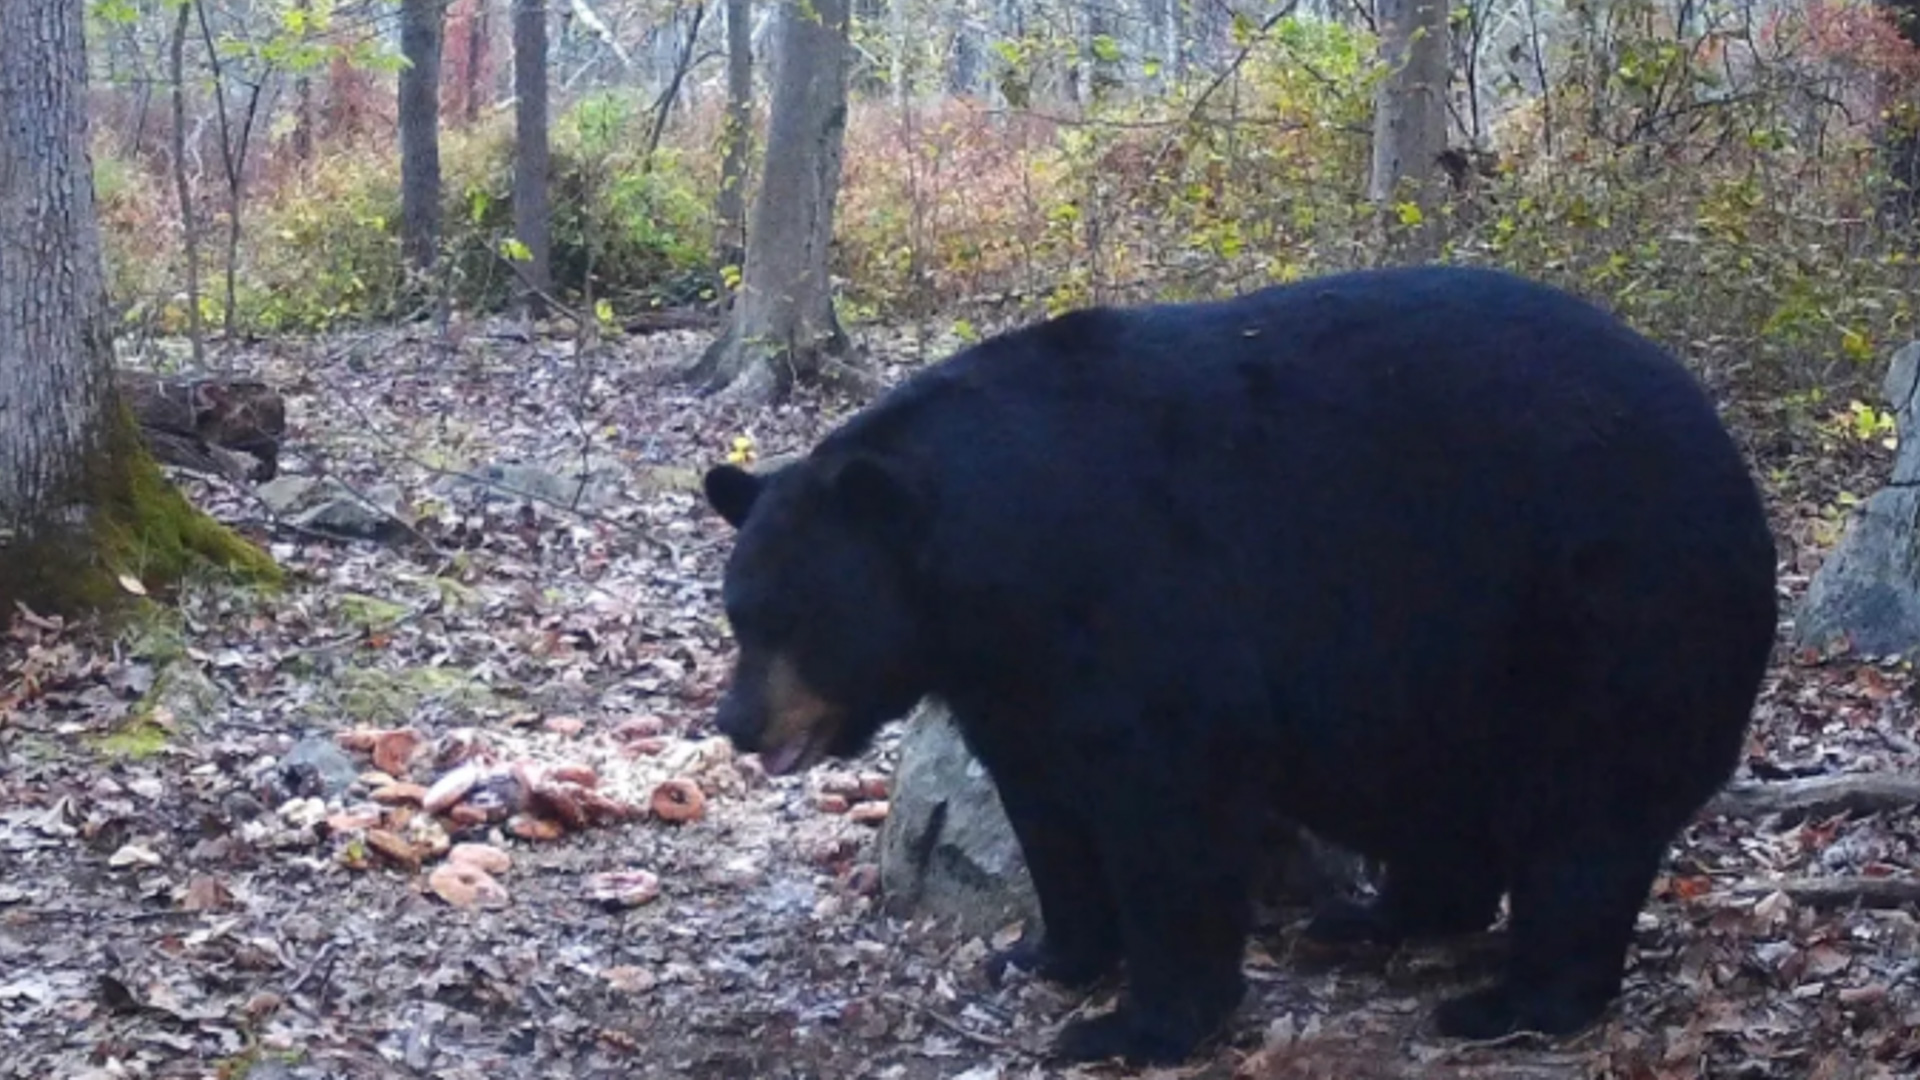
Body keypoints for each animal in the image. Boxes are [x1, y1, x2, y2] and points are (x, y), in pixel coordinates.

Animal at [698, 267, 1774, 1060]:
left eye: (795, 618)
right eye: (738, 613)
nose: (737, 723)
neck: (989, 560)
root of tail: (1735, 466)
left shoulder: (1141, 602)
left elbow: (1168, 802)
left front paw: (1136, 1024)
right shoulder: (1014, 675)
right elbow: (1045, 804)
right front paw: (1046, 954)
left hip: (1605, 619)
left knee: (1585, 824)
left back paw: (1513, 1002)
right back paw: (1373, 919)